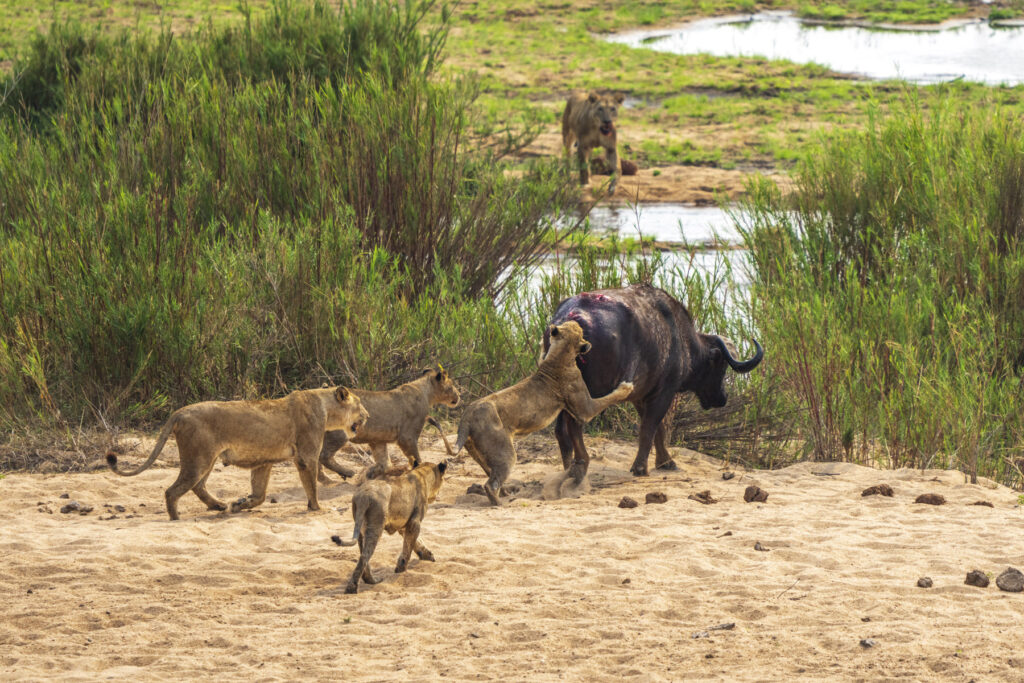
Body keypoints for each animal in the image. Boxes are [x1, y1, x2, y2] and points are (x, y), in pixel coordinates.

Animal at [103, 387, 366, 520]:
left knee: (198, 486)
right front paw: (316, 508)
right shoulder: (306, 456)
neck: (326, 407)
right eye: (360, 404)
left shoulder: (264, 462)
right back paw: (176, 518)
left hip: (206, 459)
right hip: (198, 459)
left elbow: (260, 494)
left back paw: (219, 506)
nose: (368, 416)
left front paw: (241, 504)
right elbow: (311, 485)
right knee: (173, 490)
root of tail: (179, 412)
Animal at [319, 368, 460, 481]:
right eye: (451, 385)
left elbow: (385, 463)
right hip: (339, 434)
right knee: (323, 456)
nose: (459, 395)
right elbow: (416, 459)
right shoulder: (407, 437)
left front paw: (371, 474)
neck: (426, 392)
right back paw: (347, 472)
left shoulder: (377, 440)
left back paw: (325, 479)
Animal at [329, 458, 446, 593]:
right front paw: (401, 568)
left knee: (362, 554)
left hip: (361, 527)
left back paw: (371, 580)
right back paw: (352, 588)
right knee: (364, 556)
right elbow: (409, 546)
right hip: (375, 526)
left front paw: (427, 555)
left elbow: (415, 542)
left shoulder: (403, 525)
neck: (421, 473)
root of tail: (364, 496)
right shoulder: (414, 522)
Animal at [548, 282, 765, 481]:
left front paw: (665, 461)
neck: (680, 338)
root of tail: (573, 318)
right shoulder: (665, 391)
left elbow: (656, 428)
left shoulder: (641, 395)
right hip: (589, 390)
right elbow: (649, 427)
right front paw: (641, 467)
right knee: (574, 424)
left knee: (560, 429)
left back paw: (568, 468)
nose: (722, 398)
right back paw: (580, 466)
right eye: (721, 366)